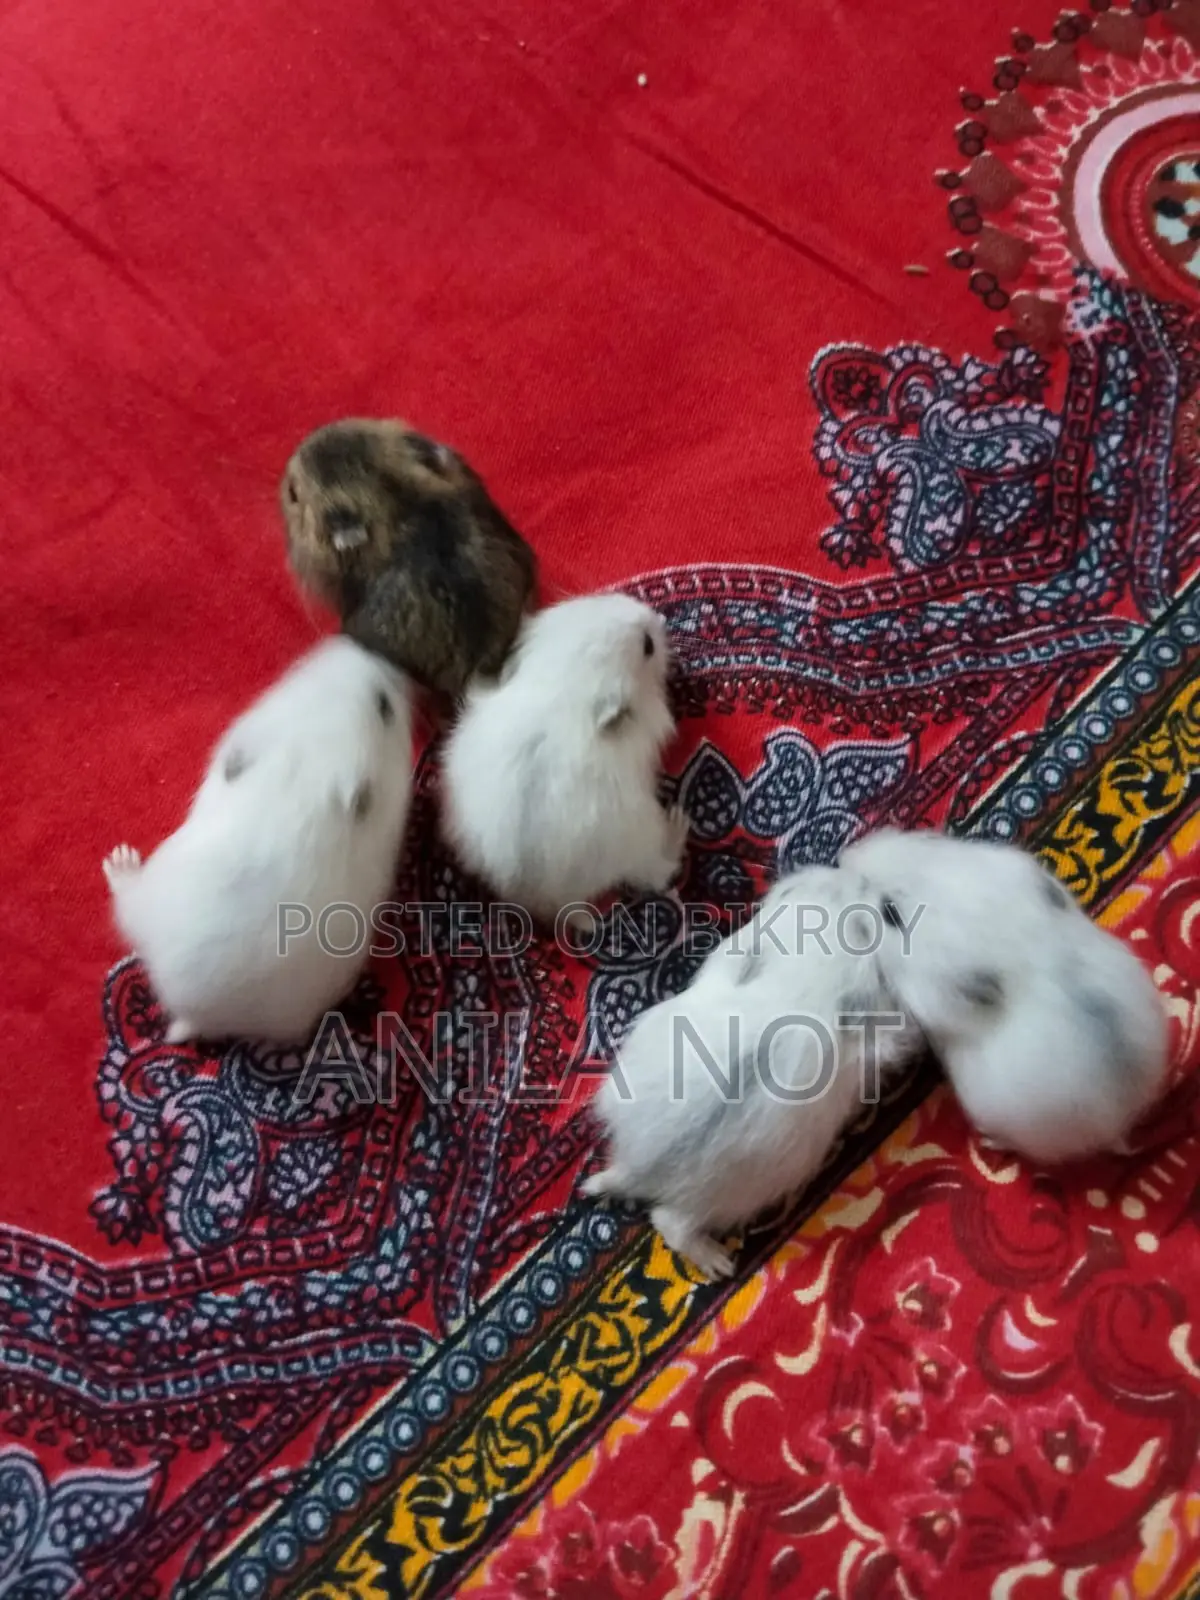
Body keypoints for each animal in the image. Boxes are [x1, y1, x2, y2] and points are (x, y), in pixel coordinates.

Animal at [103, 636, 414, 1045]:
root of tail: (191, 1013)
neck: (303, 767)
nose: (372, 653)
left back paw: (119, 860)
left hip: (144, 896)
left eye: (384, 705)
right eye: (301, 672)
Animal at [440, 592, 689, 927]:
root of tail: (551, 901)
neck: (567, 682)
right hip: (644, 836)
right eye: (648, 646)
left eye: (595, 600)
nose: (656, 617)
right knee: (659, 872)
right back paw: (680, 820)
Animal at [584, 865, 922, 1278]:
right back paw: (720, 1265)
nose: (849, 874)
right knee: (670, 1223)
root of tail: (639, 1166)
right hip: (729, 1198)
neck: (817, 965)